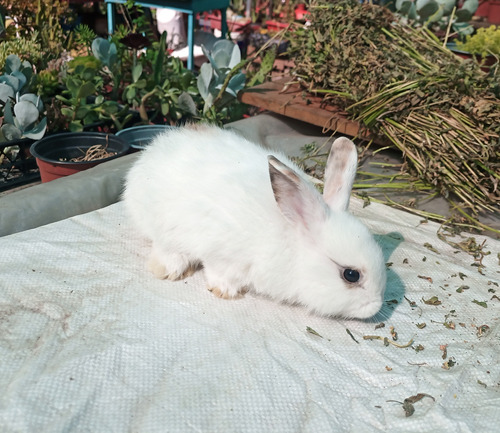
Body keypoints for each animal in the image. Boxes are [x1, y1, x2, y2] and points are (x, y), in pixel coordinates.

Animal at [122, 123, 386, 318]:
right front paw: (224, 291)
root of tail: (152, 151)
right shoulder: (223, 251)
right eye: (351, 275)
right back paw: (169, 269)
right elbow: (219, 270)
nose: (376, 306)